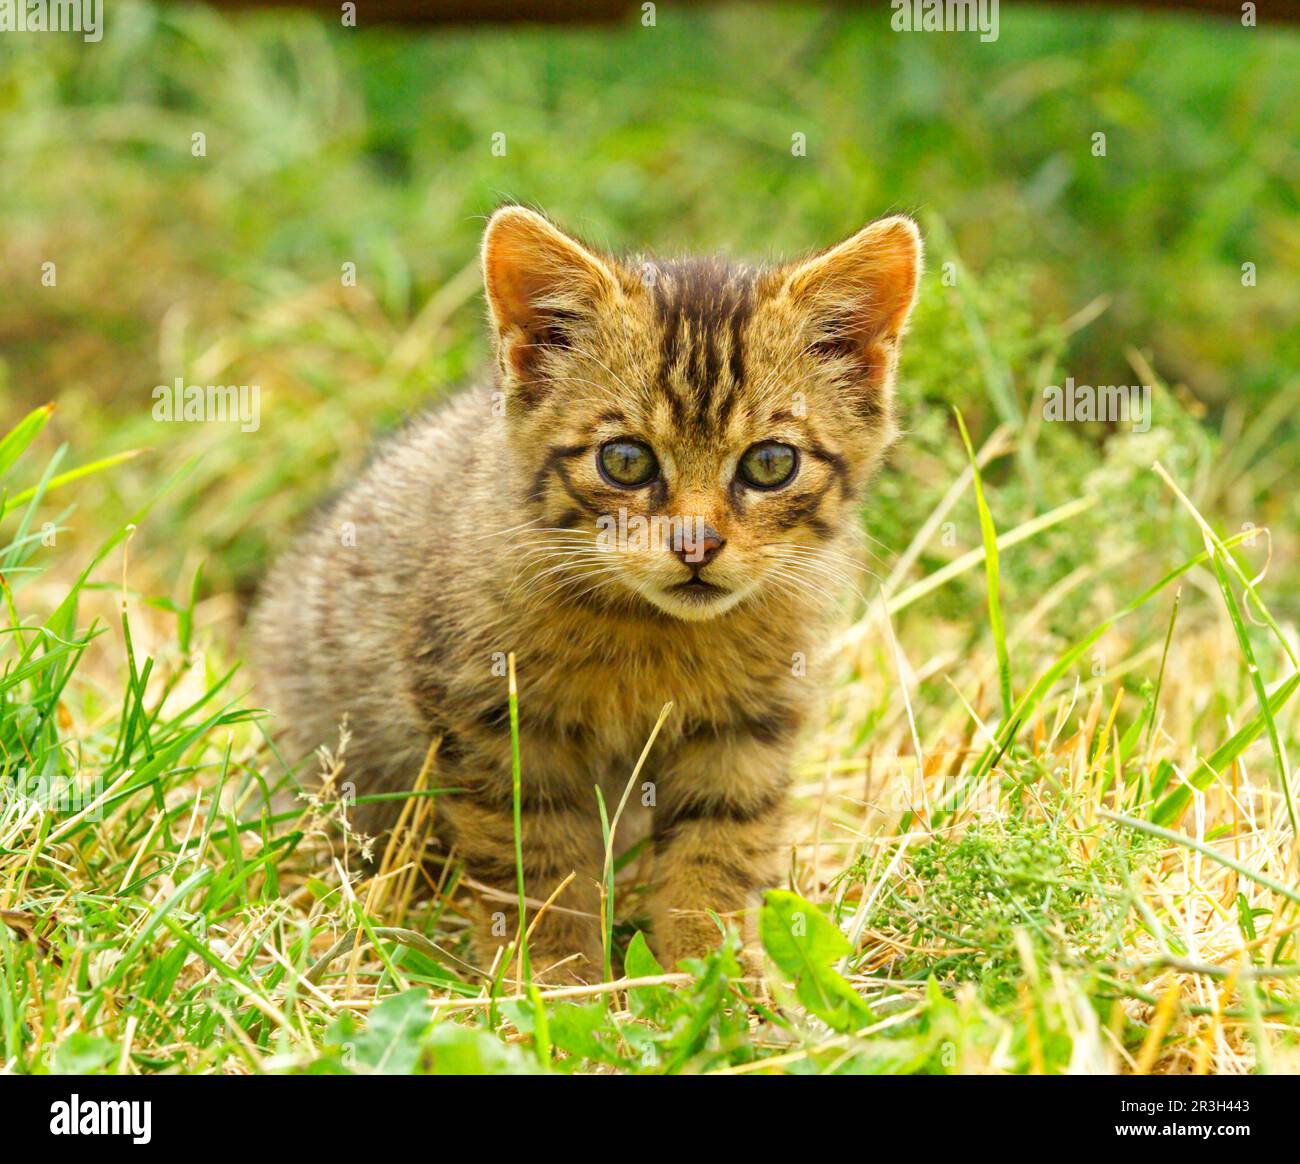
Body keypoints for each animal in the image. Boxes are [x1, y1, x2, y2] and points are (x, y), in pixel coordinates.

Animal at [250, 205, 925, 978]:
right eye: (625, 460)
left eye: (770, 463)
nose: (697, 544)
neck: (655, 633)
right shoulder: (492, 718)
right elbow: (535, 859)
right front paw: (552, 976)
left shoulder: (749, 725)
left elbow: (718, 846)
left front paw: (712, 972)